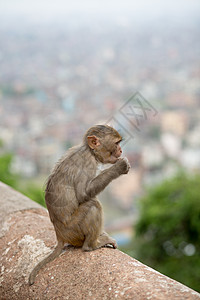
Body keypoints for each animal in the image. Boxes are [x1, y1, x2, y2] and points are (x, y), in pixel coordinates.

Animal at [28, 125, 130, 286]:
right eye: (116, 143)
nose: (120, 150)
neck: (90, 151)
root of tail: (59, 235)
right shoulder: (88, 164)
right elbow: (83, 194)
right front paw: (119, 167)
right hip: (73, 229)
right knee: (93, 205)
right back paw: (91, 245)